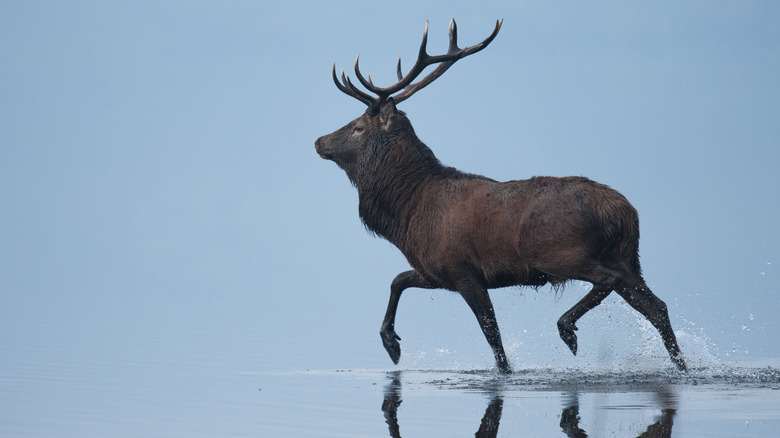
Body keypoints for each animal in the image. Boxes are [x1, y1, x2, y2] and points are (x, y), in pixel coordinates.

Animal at [314, 18, 684, 372]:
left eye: (358, 127)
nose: (319, 141)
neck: (408, 213)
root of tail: (624, 212)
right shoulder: (435, 270)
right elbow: (397, 280)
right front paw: (391, 344)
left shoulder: (464, 269)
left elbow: (492, 334)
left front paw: (505, 368)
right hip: (627, 256)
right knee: (657, 307)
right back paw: (681, 364)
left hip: (560, 253)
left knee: (608, 281)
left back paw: (567, 329)